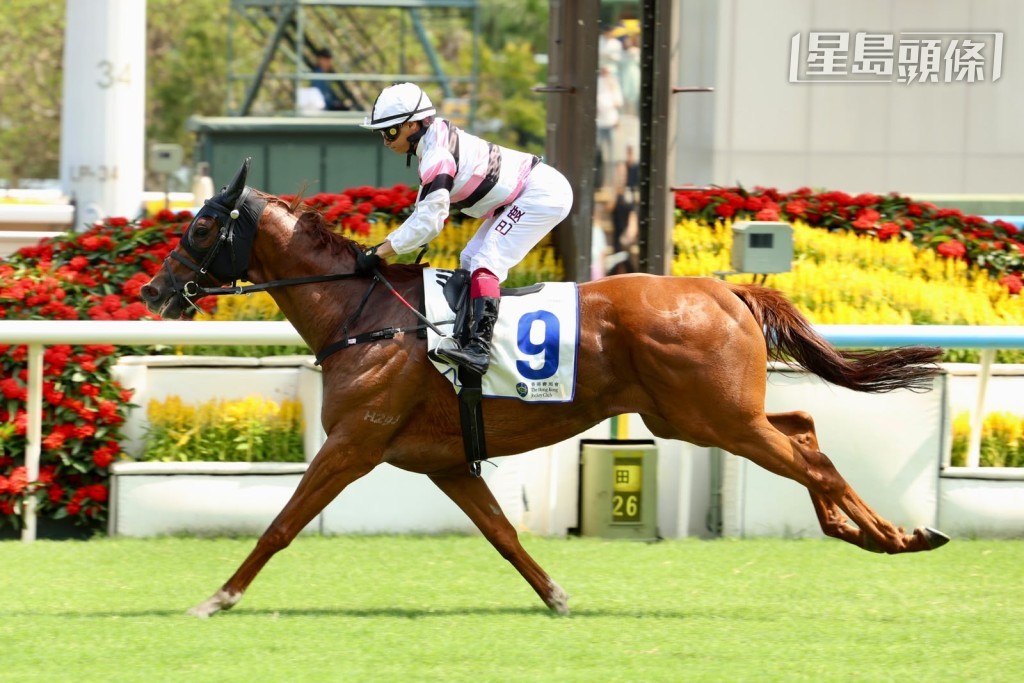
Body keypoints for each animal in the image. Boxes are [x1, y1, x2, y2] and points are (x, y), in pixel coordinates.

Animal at [140, 159, 950, 618]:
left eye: (204, 227)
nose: (154, 289)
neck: (364, 316)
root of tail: (725, 290)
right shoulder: (443, 461)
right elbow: (503, 534)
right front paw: (556, 596)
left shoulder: (354, 442)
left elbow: (280, 524)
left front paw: (216, 597)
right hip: (700, 417)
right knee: (805, 426)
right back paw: (867, 529)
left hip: (716, 418)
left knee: (812, 458)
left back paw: (897, 534)